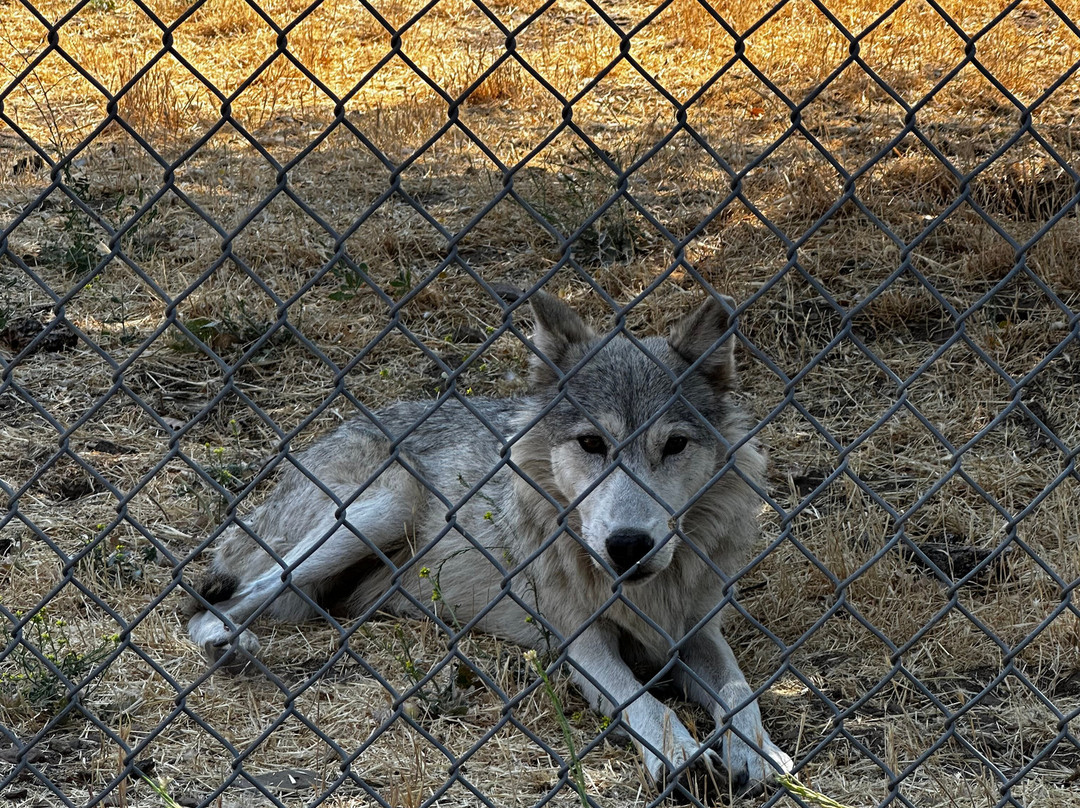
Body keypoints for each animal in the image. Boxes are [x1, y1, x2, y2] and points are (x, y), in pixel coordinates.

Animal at [187, 291, 793, 791]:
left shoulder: (696, 630)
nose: (628, 545)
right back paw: (229, 644)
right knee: (220, 600)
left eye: (674, 446)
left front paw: (759, 752)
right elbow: (643, 701)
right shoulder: (582, 644)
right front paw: (681, 754)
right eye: (592, 443)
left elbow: (740, 692)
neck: (640, 594)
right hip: (382, 509)